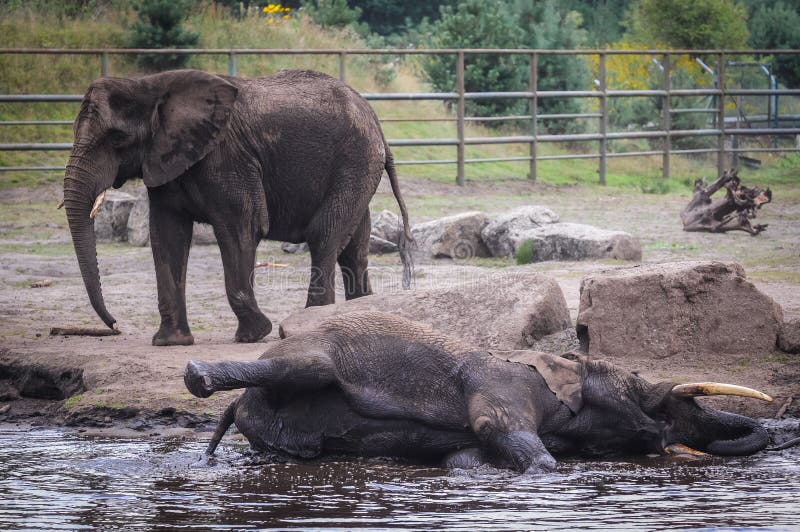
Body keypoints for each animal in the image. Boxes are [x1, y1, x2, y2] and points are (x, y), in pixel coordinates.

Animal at [184, 310, 772, 472]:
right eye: (633, 385)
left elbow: (465, 455)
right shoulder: (503, 384)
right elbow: (510, 439)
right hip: (310, 354)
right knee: (305, 368)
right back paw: (198, 375)